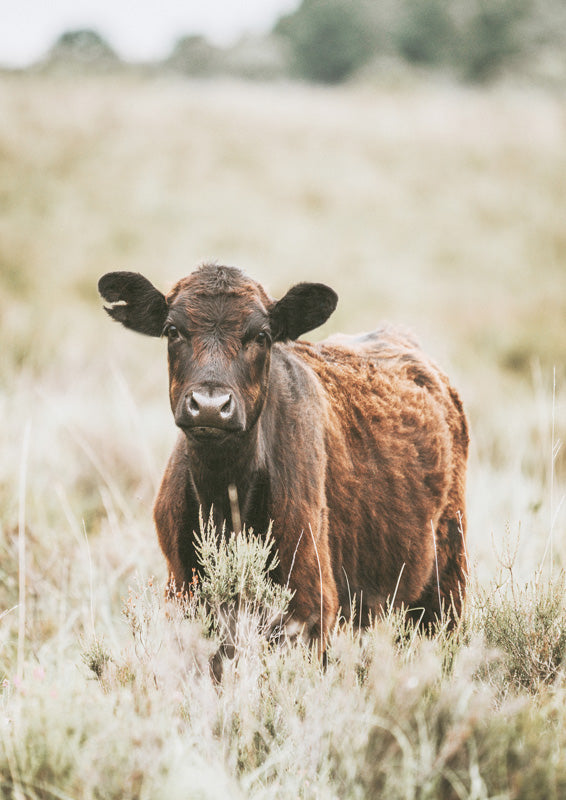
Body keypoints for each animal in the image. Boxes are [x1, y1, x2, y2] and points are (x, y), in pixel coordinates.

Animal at [98, 263, 469, 644]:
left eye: (261, 336)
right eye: (173, 331)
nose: (210, 406)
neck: (224, 496)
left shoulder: (310, 604)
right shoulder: (182, 592)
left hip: (446, 584)